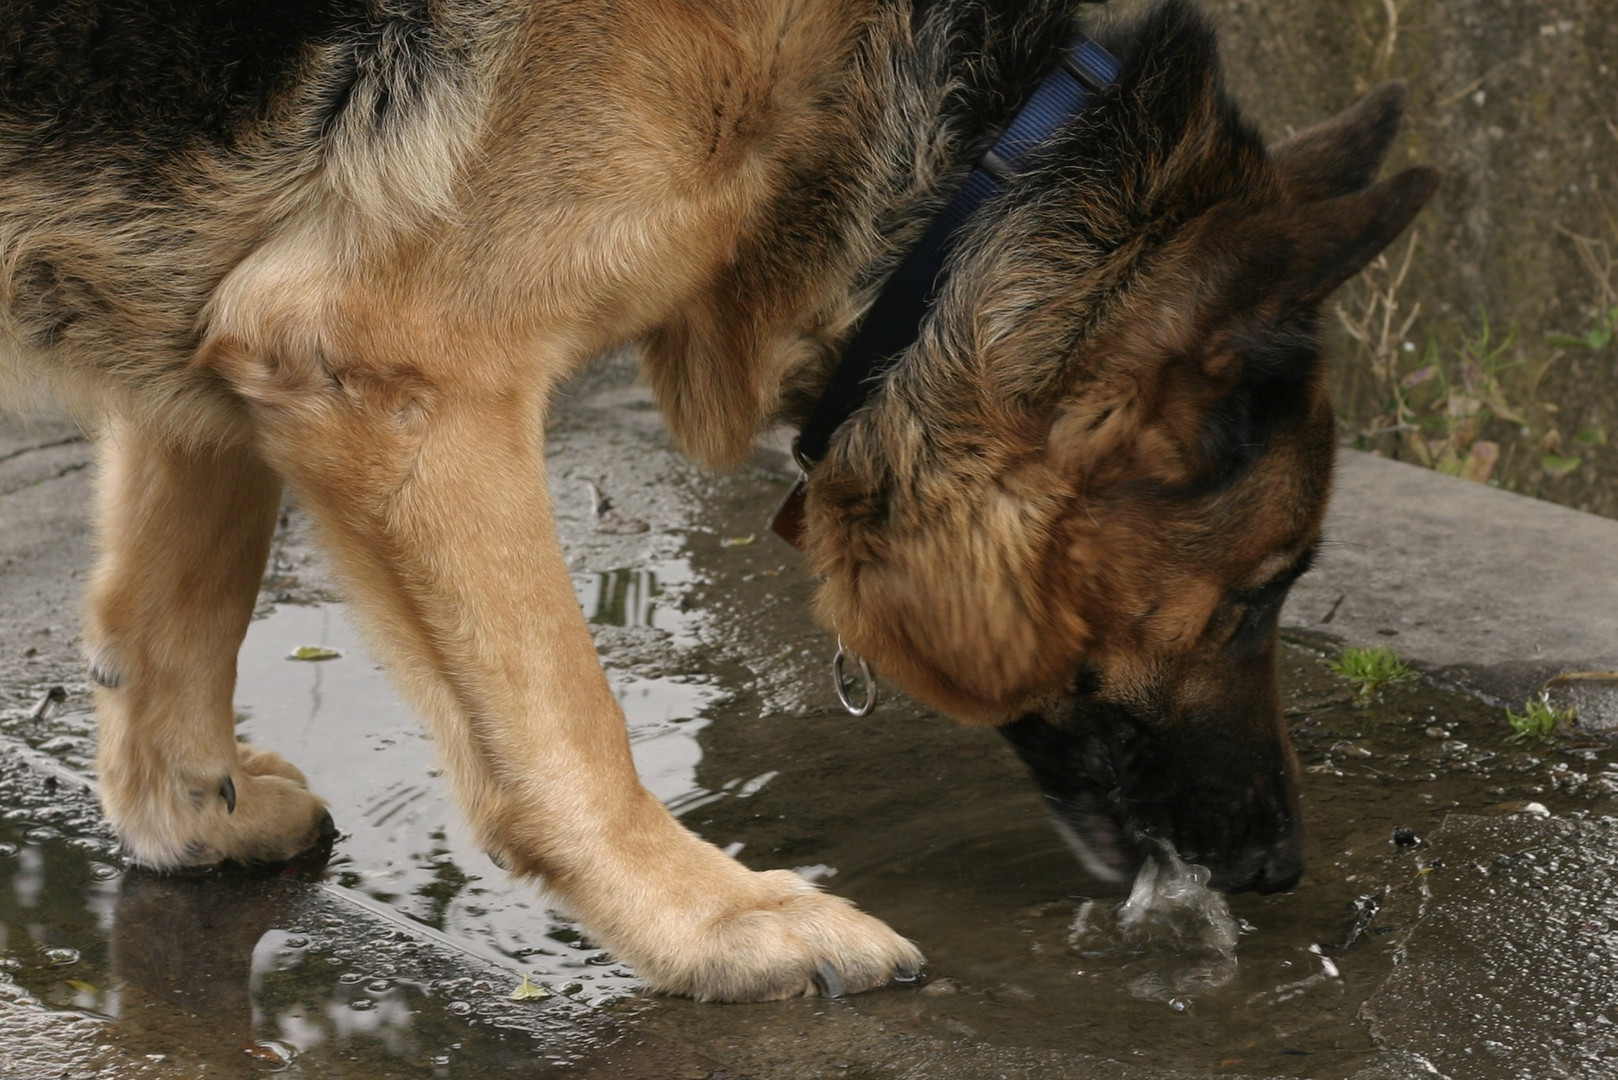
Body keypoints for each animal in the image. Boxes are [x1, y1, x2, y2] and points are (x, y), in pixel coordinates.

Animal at [6, 0, 1436, 1003]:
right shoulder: (397, 366)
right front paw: (716, 922)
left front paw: (188, 811)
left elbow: (174, 599)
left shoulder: (216, 340)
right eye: (1258, 598)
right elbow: (565, 721)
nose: (1278, 868)